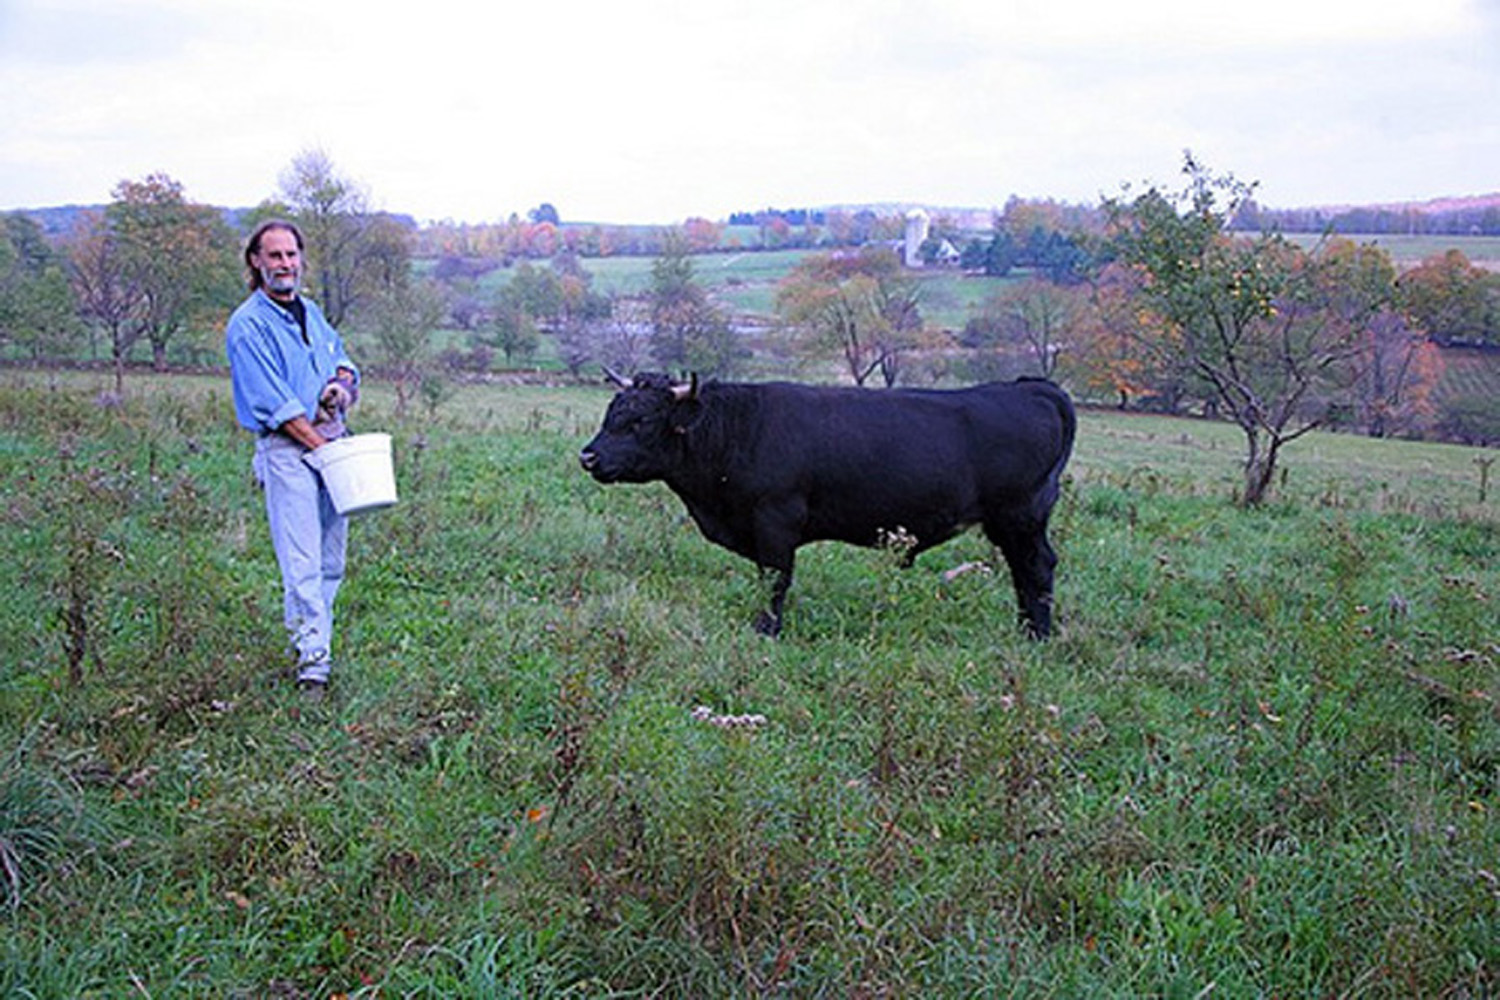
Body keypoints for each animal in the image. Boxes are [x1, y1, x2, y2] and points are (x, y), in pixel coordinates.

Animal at [576, 373, 1080, 641]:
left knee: (1037, 567)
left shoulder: (775, 519)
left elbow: (774, 579)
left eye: (641, 421)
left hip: (1021, 516)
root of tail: (1029, 387)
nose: (589, 456)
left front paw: (767, 629)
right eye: (611, 414)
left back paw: (1037, 634)